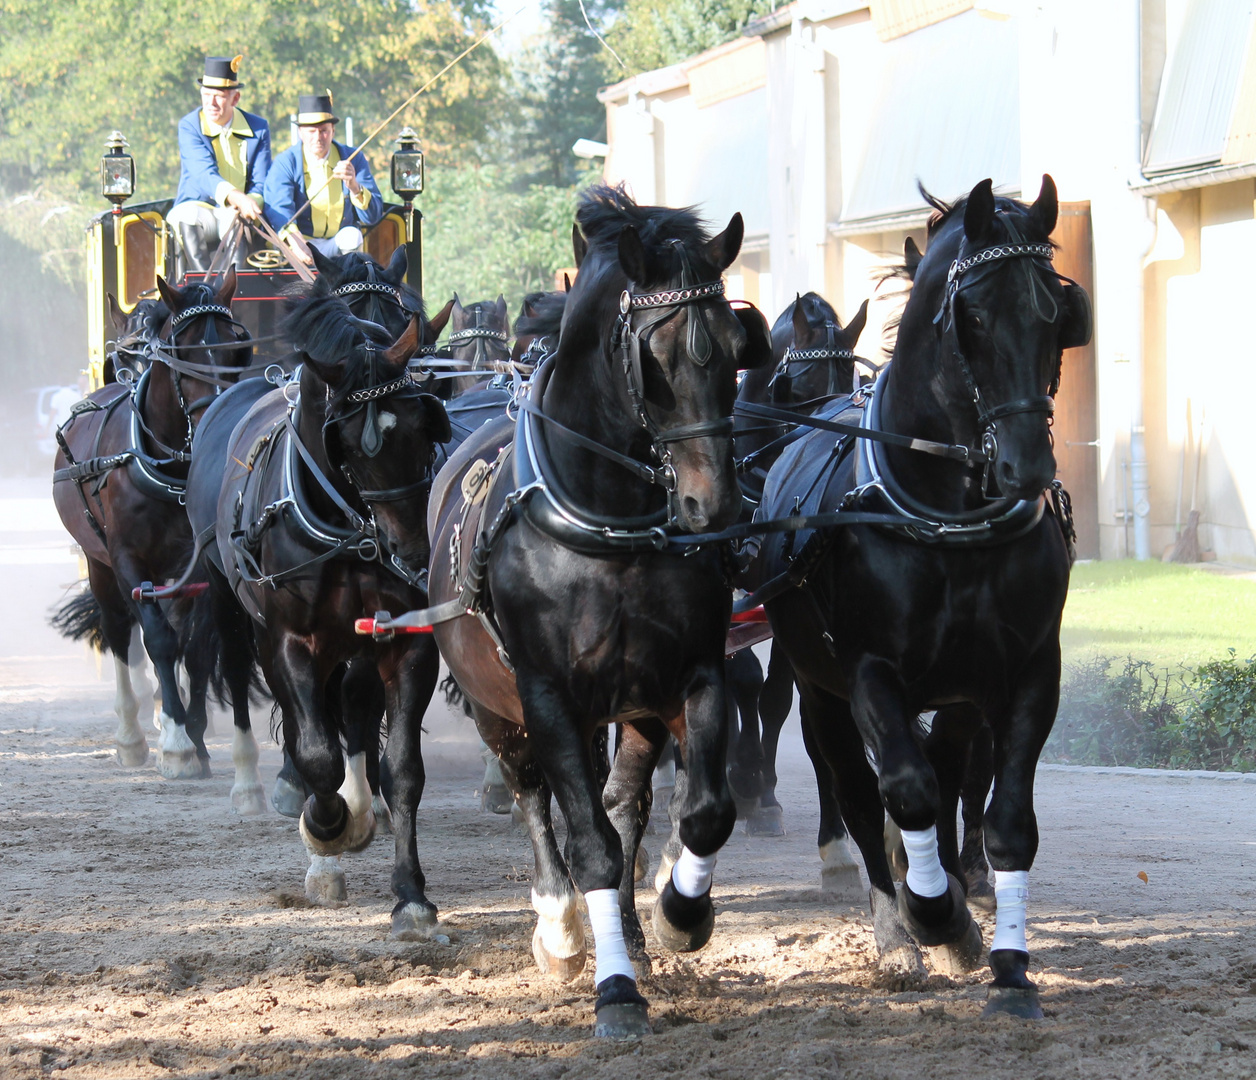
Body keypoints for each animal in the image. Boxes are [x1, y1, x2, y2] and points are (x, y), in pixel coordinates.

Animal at [419, 187, 773, 1039]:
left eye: (735, 346)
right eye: (656, 356)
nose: (714, 508)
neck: (611, 527)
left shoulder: (691, 675)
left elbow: (703, 811)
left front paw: (681, 914)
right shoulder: (547, 696)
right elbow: (589, 845)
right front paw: (614, 988)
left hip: (628, 707)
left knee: (624, 802)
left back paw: (636, 930)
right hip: (498, 705)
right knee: (536, 801)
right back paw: (561, 928)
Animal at [753, 174, 1090, 1014]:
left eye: (1057, 311)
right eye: (972, 316)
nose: (1027, 468)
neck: (949, 516)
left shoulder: (1026, 671)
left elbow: (1006, 817)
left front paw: (1006, 961)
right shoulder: (871, 671)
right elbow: (903, 791)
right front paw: (935, 916)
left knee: (947, 770)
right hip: (821, 685)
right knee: (858, 791)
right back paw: (898, 928)